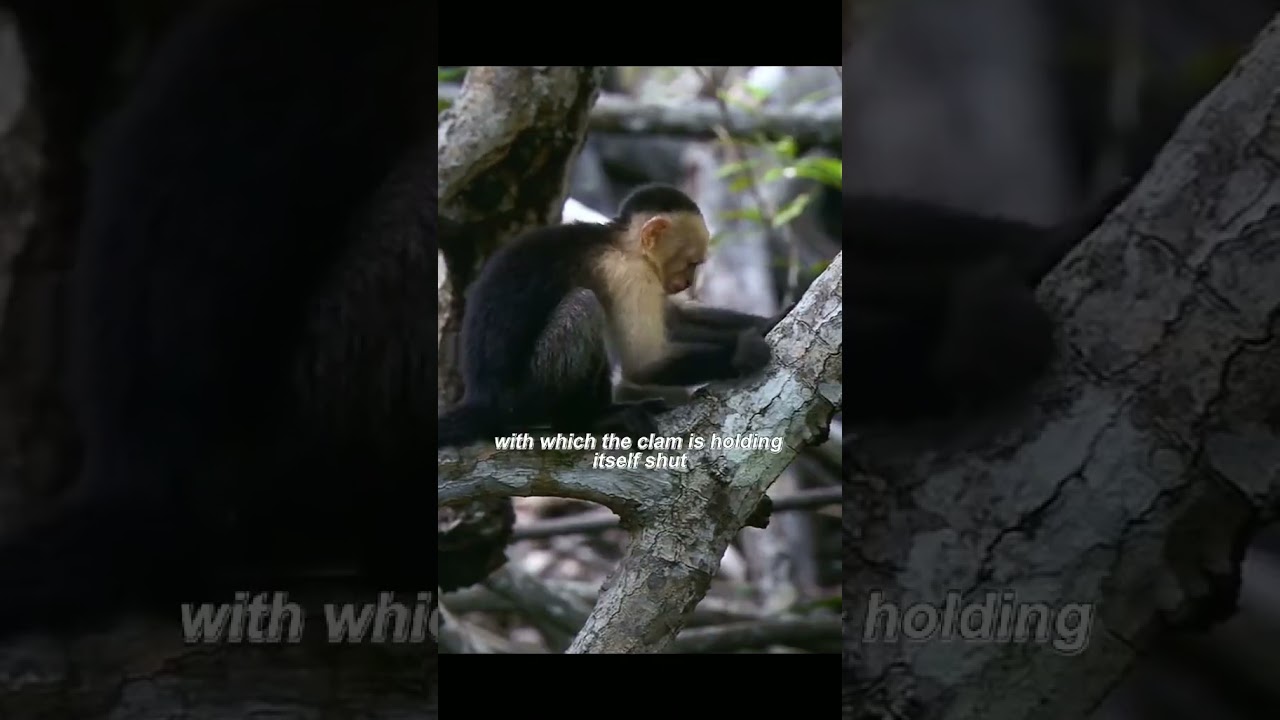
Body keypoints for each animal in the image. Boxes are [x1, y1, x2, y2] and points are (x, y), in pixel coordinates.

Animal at [437, 184, 782, 449]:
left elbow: (672, 320)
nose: (686, 282)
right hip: (522, 400)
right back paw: (586, 420)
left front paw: (770, 320)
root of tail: (481, 399)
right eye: (691, 263)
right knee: (585, 305)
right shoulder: (627, 273)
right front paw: (743, 353)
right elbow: (645, 363)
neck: (620, 243)